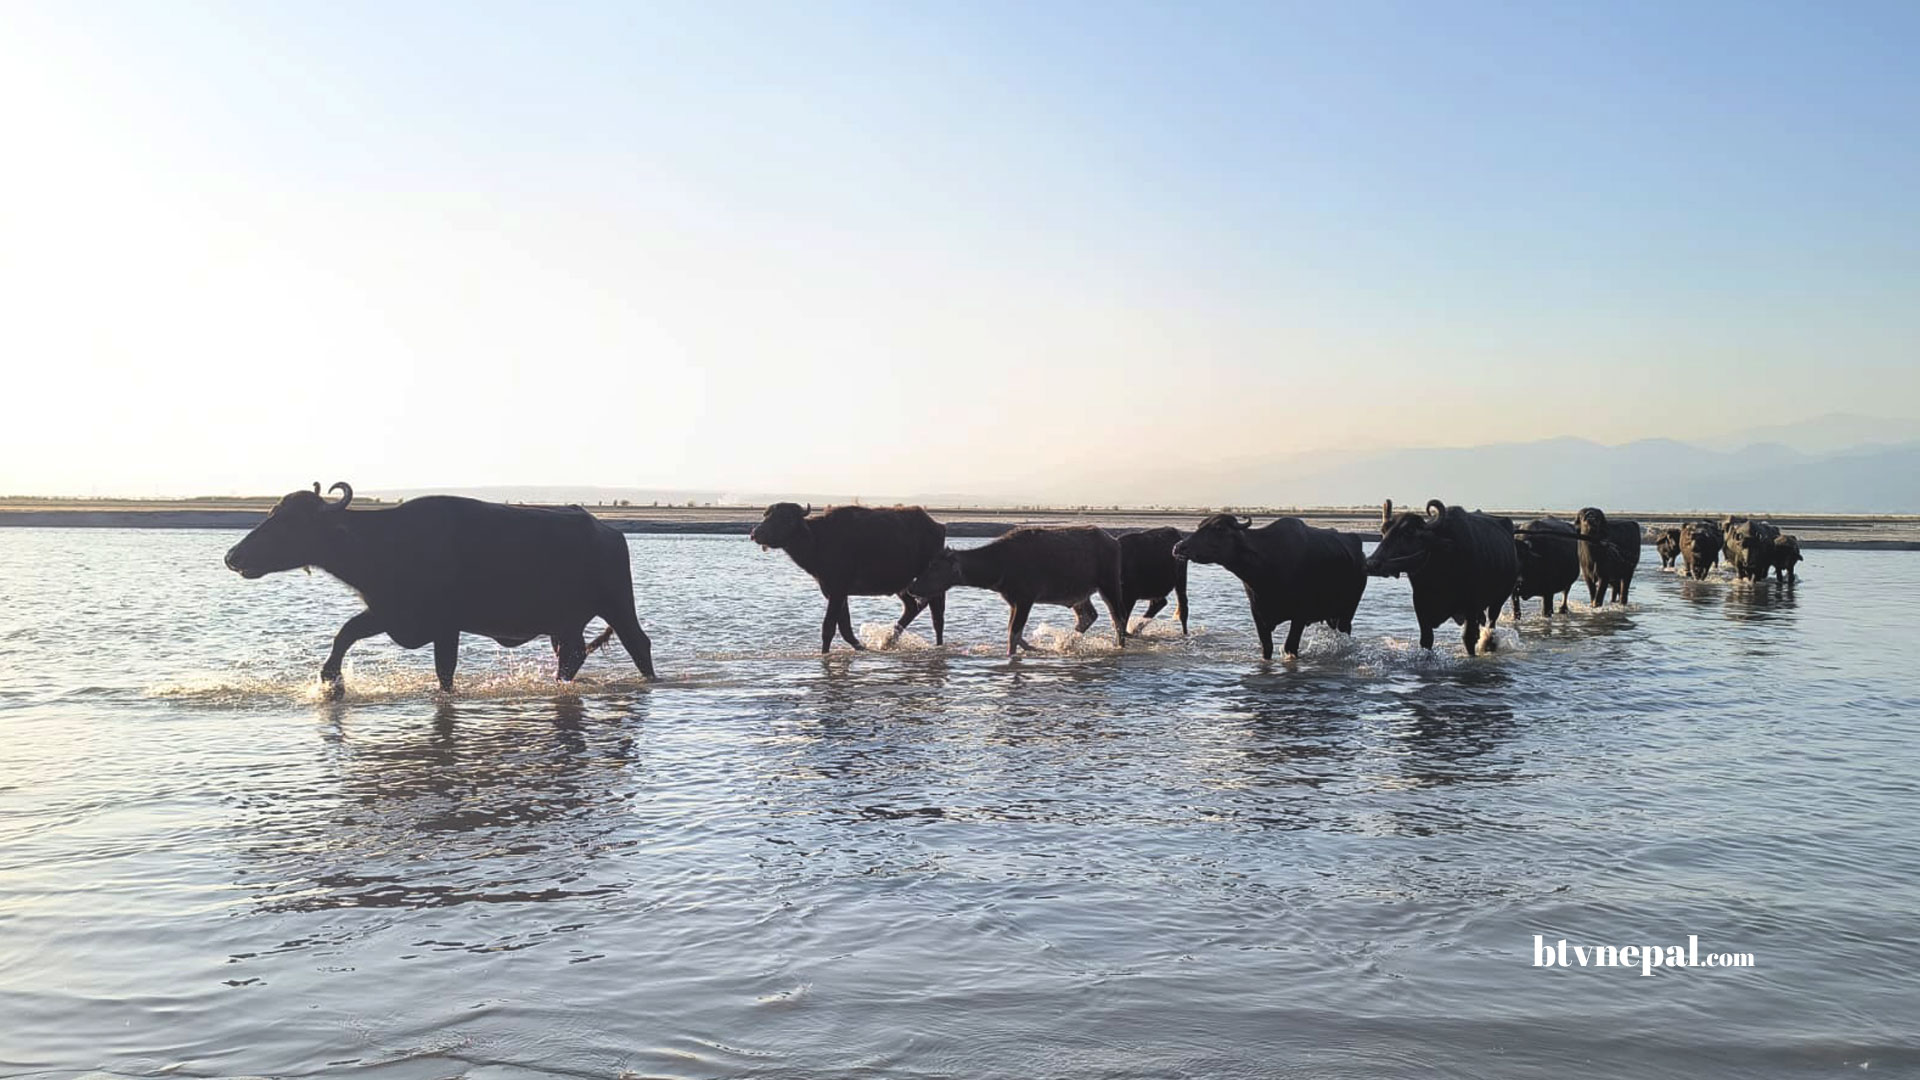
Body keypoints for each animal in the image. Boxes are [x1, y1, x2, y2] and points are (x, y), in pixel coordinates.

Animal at [224, 483, 657, 696]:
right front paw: (332, 682)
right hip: (564, 623)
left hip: (617, 603)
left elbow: (444, 671)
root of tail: (609, 532)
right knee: (572, 655)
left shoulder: (447, 626)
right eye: (272, 513)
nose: (232, 555)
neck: (384, 543)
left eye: (289, 521)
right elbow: (345, 633)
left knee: (638, 643)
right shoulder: (387, 611)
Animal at [751, 502, 948, 652]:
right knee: (912, 607)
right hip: (902, 585)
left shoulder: (838, 590)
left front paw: (825, 653)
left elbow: (829, 627)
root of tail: (938, 527)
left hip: (933, 582)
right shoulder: (834, 591)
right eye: (766, 515)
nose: (755, 533)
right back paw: (889, 640)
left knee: (937, 617)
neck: (817, 540)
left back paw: (938, 645)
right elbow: (845, 627)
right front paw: (860, 647)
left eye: (785, 518)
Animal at [907, 526, 1125, 656]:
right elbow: (1015, 633)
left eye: (935, 567)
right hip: (1080, 594)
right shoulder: (1013, 601)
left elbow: (1013, 634)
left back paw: (1119, 645)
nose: (912, 588)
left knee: (1118, 618)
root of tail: (1114, 541)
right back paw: (1067, 643)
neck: (1000, 565)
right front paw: (1033, 647)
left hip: (1109, 585)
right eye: (930, 564)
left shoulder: (1025, 599)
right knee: (1088, 616)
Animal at [1171, 514, 1365, 660]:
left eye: (1218, 528)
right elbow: (1267, 647)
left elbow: (1290, 647)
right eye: (1200, 525)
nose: (1179, 547)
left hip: (1347, 612)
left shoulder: (1300, 616)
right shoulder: (1258, 613)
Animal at [1365, 499, 1518, 656]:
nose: (1372, 564)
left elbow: (1468, 639)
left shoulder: (1471, 605)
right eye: (1384, 531)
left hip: (1499, 600)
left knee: (1491, 625)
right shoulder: (1420, 605)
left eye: (1409, 532)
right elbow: (1426, 640)